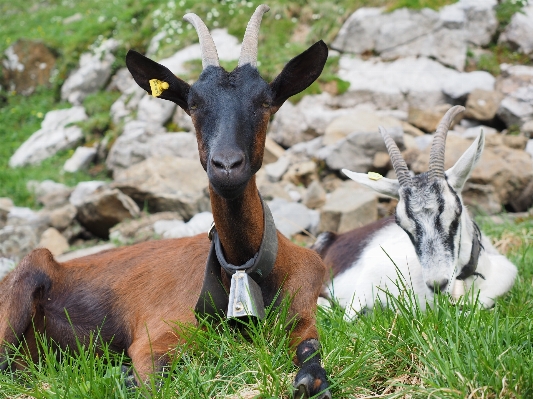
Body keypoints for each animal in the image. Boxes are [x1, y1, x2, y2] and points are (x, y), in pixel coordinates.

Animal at [0, 5, 330, 399]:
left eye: (265, 102)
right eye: (193, 104)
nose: (226, 165)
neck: (245, 271)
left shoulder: (304, 317)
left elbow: (312, 355)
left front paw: (310, 380)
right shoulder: (156, 336)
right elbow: (156, 381)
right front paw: (126, 377)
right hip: (25, 280)